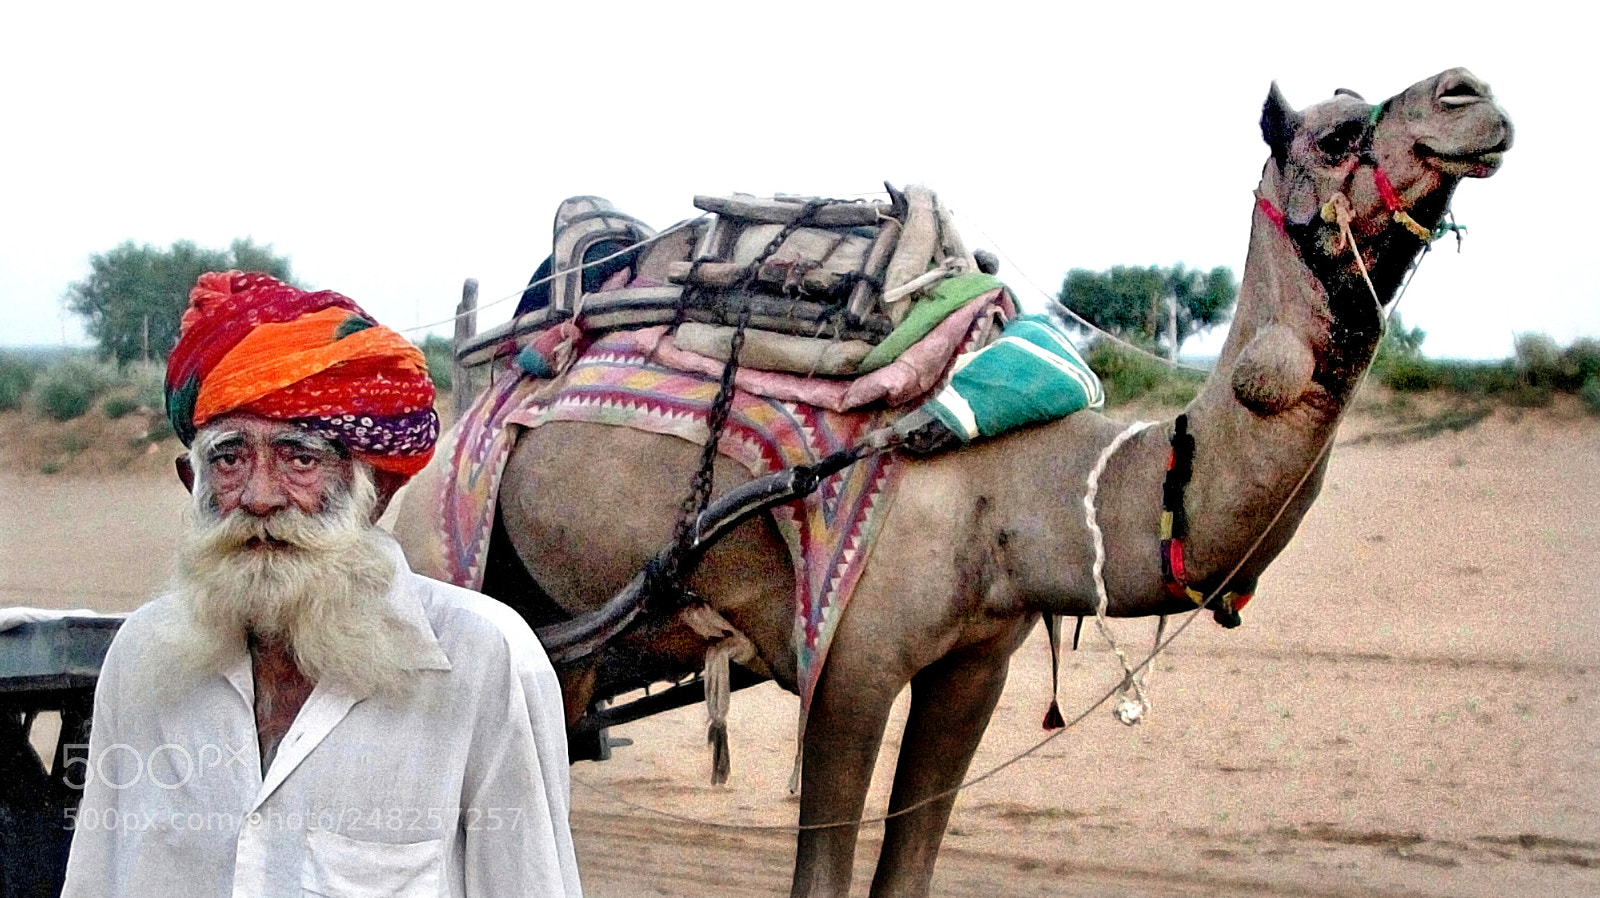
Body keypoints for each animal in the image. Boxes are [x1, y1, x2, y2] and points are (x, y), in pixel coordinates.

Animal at [394, 67, 1511, 897]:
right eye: (1334, 135)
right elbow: (825, 868)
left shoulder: (977, 664)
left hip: (567, 624)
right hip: (451, 559)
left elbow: (911, 864)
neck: (1013, 477)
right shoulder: (850, 662)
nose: (1471, 95)